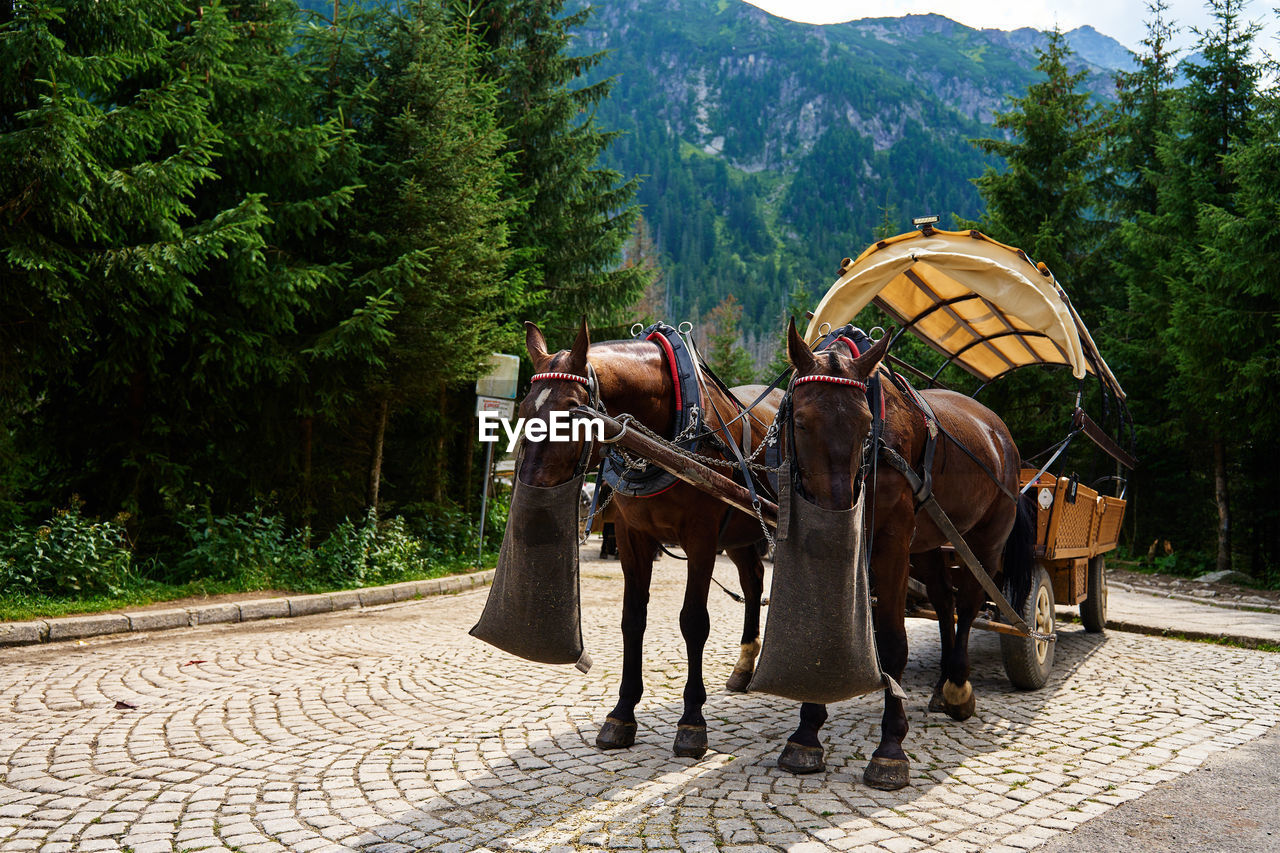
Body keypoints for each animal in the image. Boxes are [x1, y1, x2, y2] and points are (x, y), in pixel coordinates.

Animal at [519, 318, 778, 758]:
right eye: (523, 410)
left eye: (570, 414)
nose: (531, 494)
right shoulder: (632, 536)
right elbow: (632, 619)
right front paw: (622, 714)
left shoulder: (701, 538)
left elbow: (694, 622)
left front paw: (692, 721)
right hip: (741, 535)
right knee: (753, 582)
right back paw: (744, 668)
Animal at [773, 320, 1034, 788]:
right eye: (800, 422)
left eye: (865, 425)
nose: (839, 512)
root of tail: (997, 431)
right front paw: (807, 733)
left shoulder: (892, 541)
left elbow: (893, 642)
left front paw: (890, 748)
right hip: (928, 544)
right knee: (946, 603)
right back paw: (944, 682)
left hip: (983, 543)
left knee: (969, 604)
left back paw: (958, 687)